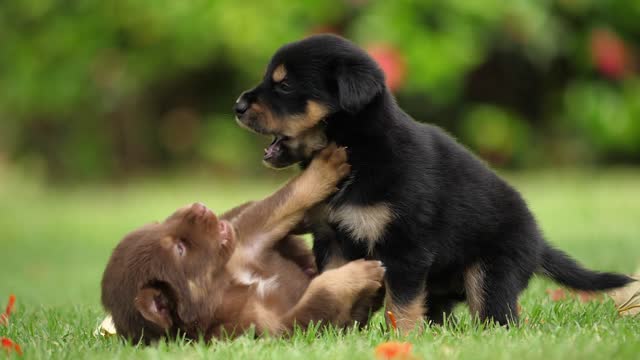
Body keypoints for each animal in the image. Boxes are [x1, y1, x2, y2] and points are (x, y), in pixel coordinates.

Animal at [102, 146, 382, 344]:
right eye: (180, 249)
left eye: (161, 223)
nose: (199, 207)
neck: (226, 283)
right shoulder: (272, 328)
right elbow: (319, 296)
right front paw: (361, 274)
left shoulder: (248, 239)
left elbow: (284, 199)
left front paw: (326, 165)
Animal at [232, 33, 632, 332]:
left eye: (284, 86)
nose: (237, 105)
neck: (360, 151)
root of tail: (538, 241)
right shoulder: (333, 240)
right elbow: (335, 282)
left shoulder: (405, 248)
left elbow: (401, 306)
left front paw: (401, 339)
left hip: (492, 273)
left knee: (497, 317)